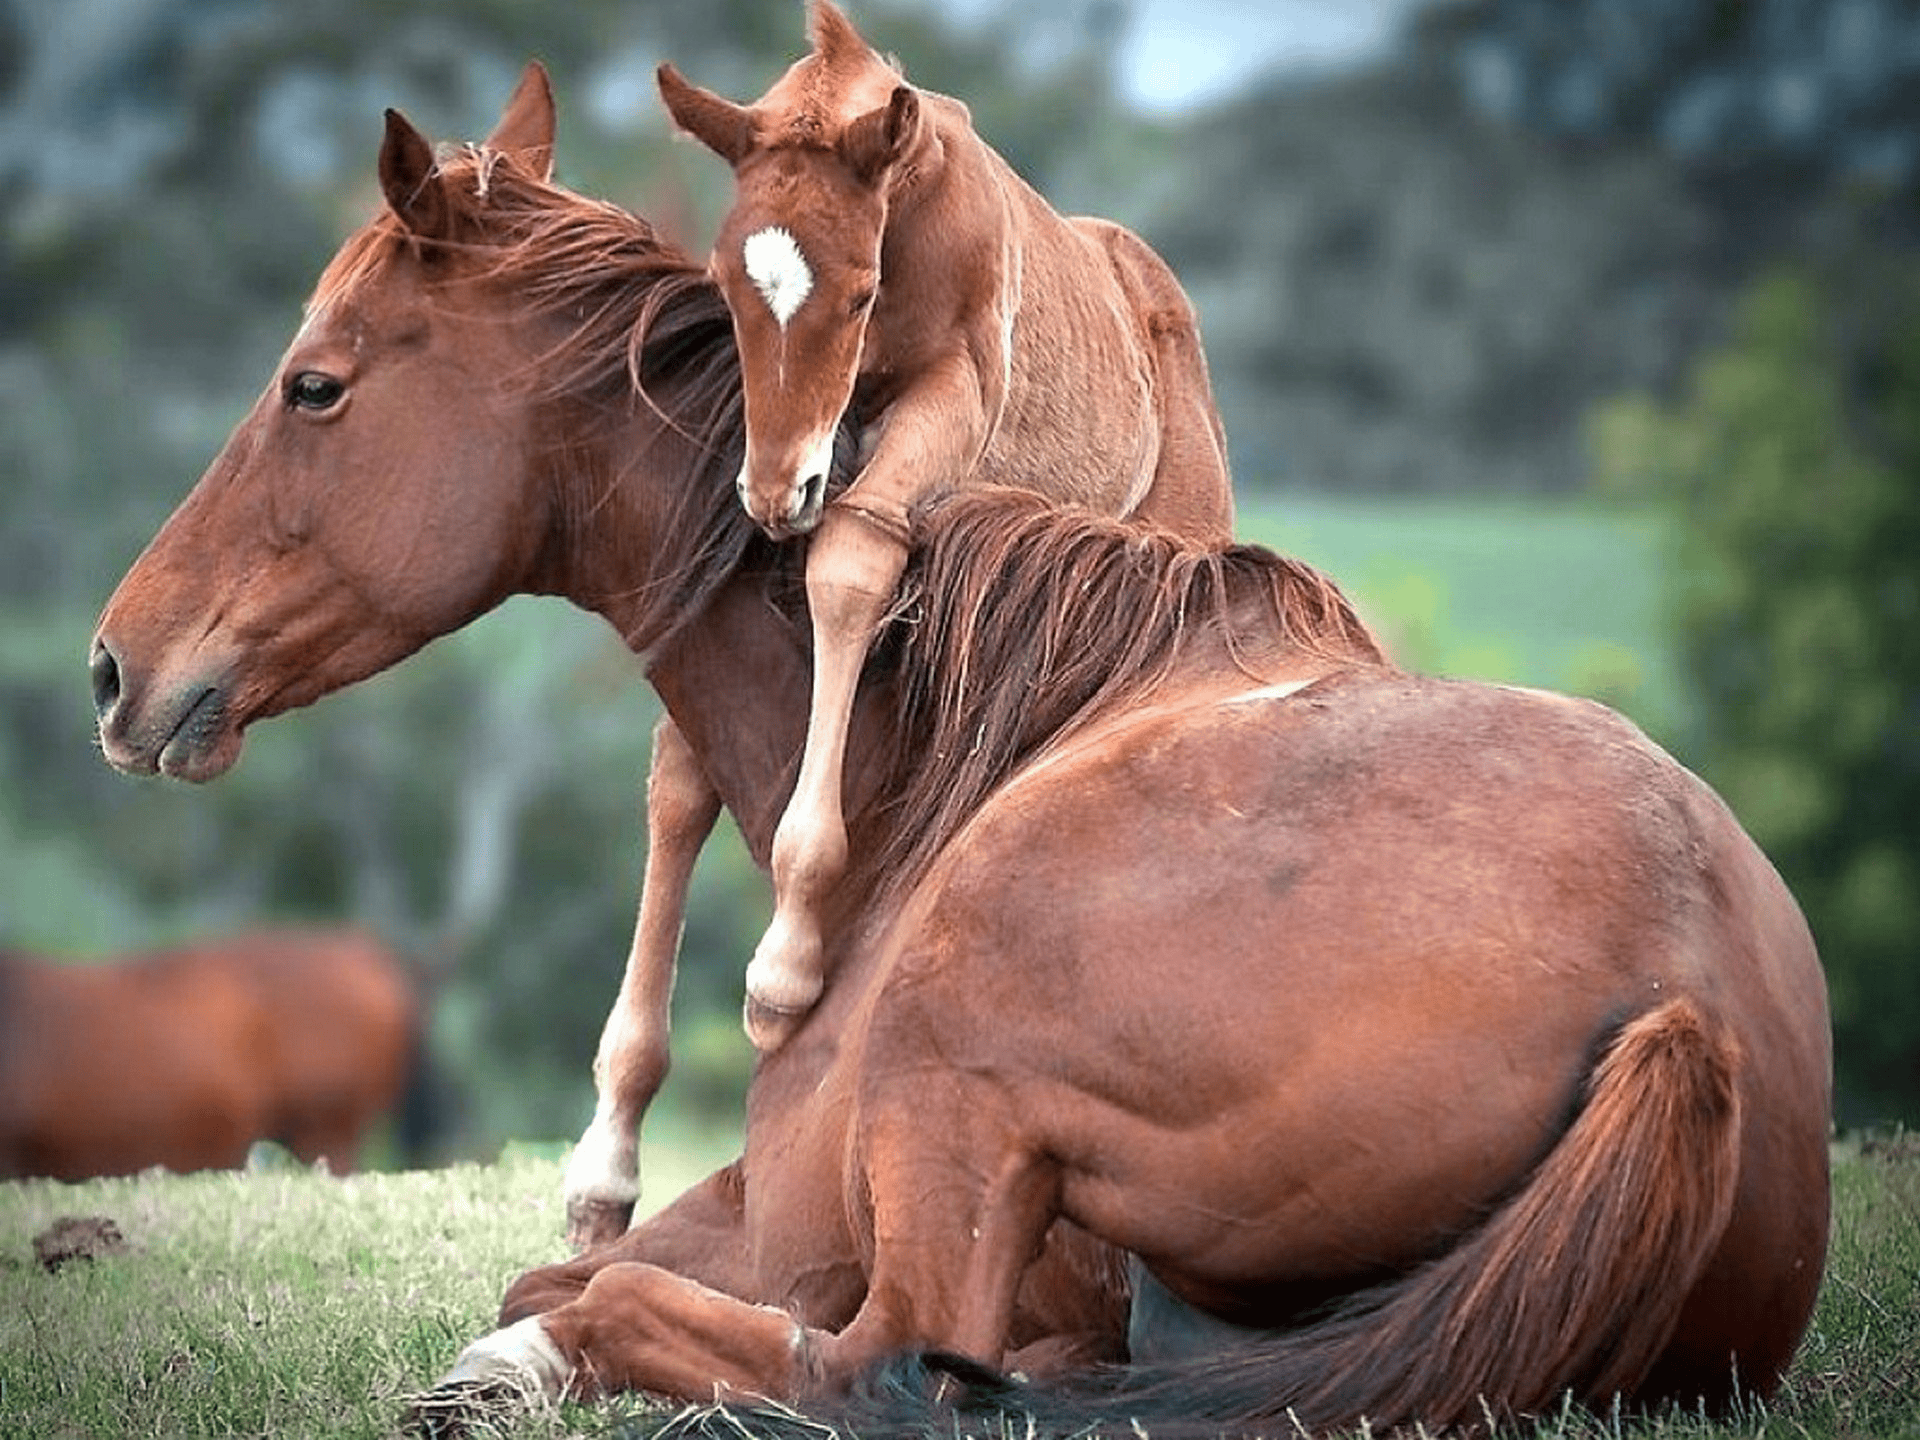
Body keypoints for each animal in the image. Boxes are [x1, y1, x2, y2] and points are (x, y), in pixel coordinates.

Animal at [656, 0, 1228, 1052]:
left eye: (859, 294)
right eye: (726, 286)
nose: (775, 492)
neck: (912, 209)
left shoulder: (954, 394)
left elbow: (851, 559)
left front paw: (782, 972)